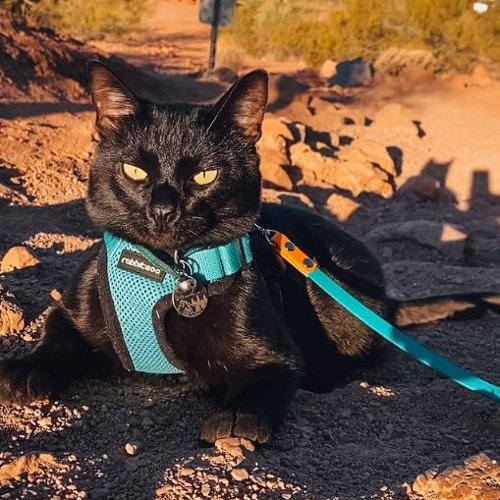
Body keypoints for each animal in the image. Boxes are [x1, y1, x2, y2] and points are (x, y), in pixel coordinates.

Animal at [0, 61, 418, 442]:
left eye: (205, 176)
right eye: (135, 171)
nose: (163, 210)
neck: (167, 272)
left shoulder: (279, 356)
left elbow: (266, 378)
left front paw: (236, 417)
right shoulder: (71, 311)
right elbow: (56, 336)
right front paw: (24, 370)